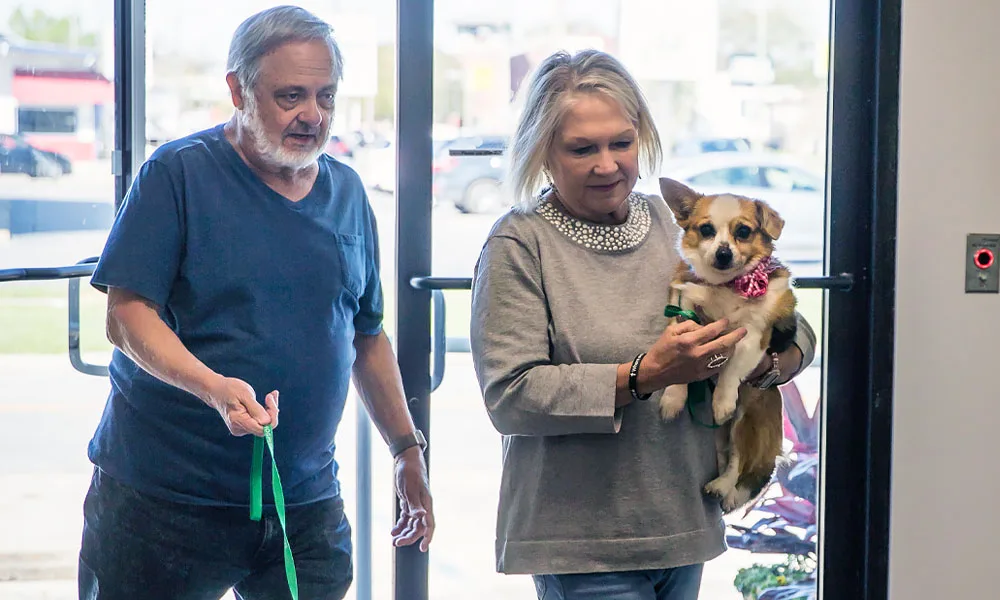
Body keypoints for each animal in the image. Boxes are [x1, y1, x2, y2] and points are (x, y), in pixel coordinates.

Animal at [656, 176, 796, 512]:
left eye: (743, 231)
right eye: (706, 229)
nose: (723, 253)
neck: (727, 286)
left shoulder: (752, 337)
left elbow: (731, 371)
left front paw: (721, 401)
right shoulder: (682, 315)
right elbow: (678, 371)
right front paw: (673, 398)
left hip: (745, 420)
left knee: (737, 460)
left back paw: (723, 485)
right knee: (726, 455)